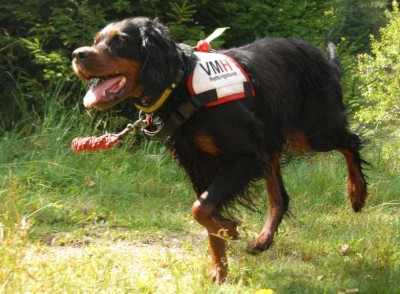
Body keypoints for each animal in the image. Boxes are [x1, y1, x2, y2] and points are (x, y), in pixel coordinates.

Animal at [72, 17, 368, 284]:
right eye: (96, 40)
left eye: (120, 41)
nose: (77, 54)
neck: (180, 86)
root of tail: (324, 59)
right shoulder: (199, 166)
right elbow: (205, 214)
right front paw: (220, 267)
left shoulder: (244, 158)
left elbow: (200, 209)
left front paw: (229, 230)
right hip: (270, 141)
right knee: (280, 198)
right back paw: (263, 240)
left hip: (311, 132)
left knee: (350, 142)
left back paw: (357, 193)